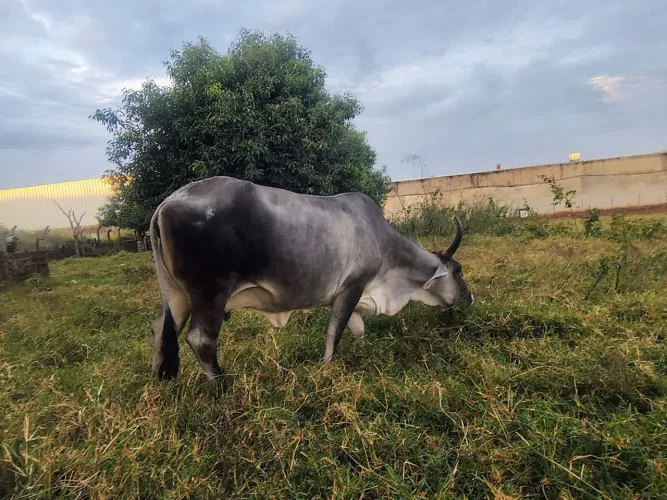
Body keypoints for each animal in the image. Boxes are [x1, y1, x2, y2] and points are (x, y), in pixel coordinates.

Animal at [149, 176, 474, 382]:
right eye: (458, 270)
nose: (470, 297)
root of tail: (168, 202)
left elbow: (358, 330)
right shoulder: (352, 287)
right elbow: (334, 332)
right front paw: (327, 367)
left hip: (176, 296)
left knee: (161, 330)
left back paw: (161, 382)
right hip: (210, 294)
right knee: (200, 339)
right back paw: (221, 385)